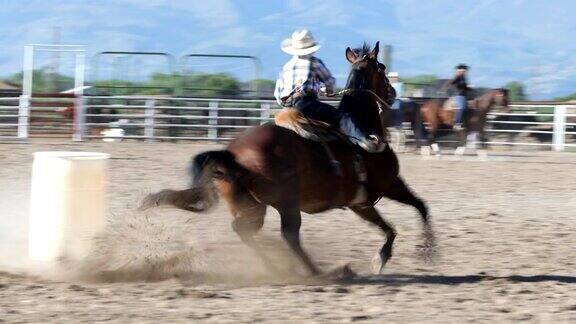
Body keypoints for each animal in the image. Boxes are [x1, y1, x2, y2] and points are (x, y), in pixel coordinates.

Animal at [142, 42, 434, 276]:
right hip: (286, 203)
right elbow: (404, 218)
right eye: (382, 68)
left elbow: (409, 213)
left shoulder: (371, 196)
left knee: (245, 230)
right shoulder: (378, 191)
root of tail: (231, 153)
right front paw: (408, 253)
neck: (361, 126)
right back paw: (323, 272)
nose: (393, 94)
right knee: (289, 235)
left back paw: (276, 267)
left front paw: (407, 253)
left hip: (251, 205)